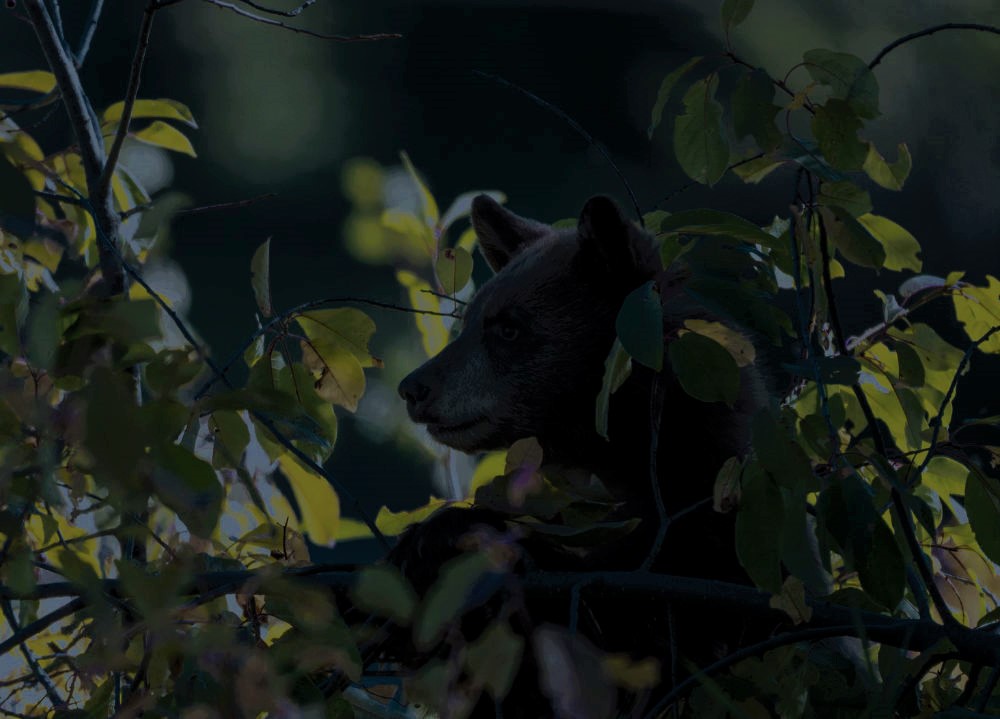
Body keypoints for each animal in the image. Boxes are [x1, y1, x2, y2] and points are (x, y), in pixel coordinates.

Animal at [389, 195, 768, 717]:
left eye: (508, 327)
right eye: (469, 321)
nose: (414, 388)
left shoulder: (712, 545)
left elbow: (620, 625)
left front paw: (447, 534)